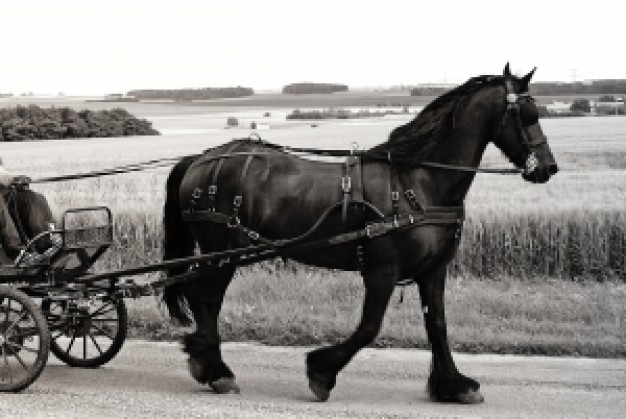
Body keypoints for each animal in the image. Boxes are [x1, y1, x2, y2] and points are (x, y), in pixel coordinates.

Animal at [160, 65, 556, 404]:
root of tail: (202, 158)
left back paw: (210, 364)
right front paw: (321, 372)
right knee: (203, 297)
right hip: (220, 250)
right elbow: (369, 327)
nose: (549, 168)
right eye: (527, 114)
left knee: (206, 299)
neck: (419, 182)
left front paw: (453, 385)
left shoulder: (433, 271)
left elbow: (438, 326)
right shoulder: (381, 271)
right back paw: (215, 369)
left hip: (224, 253)